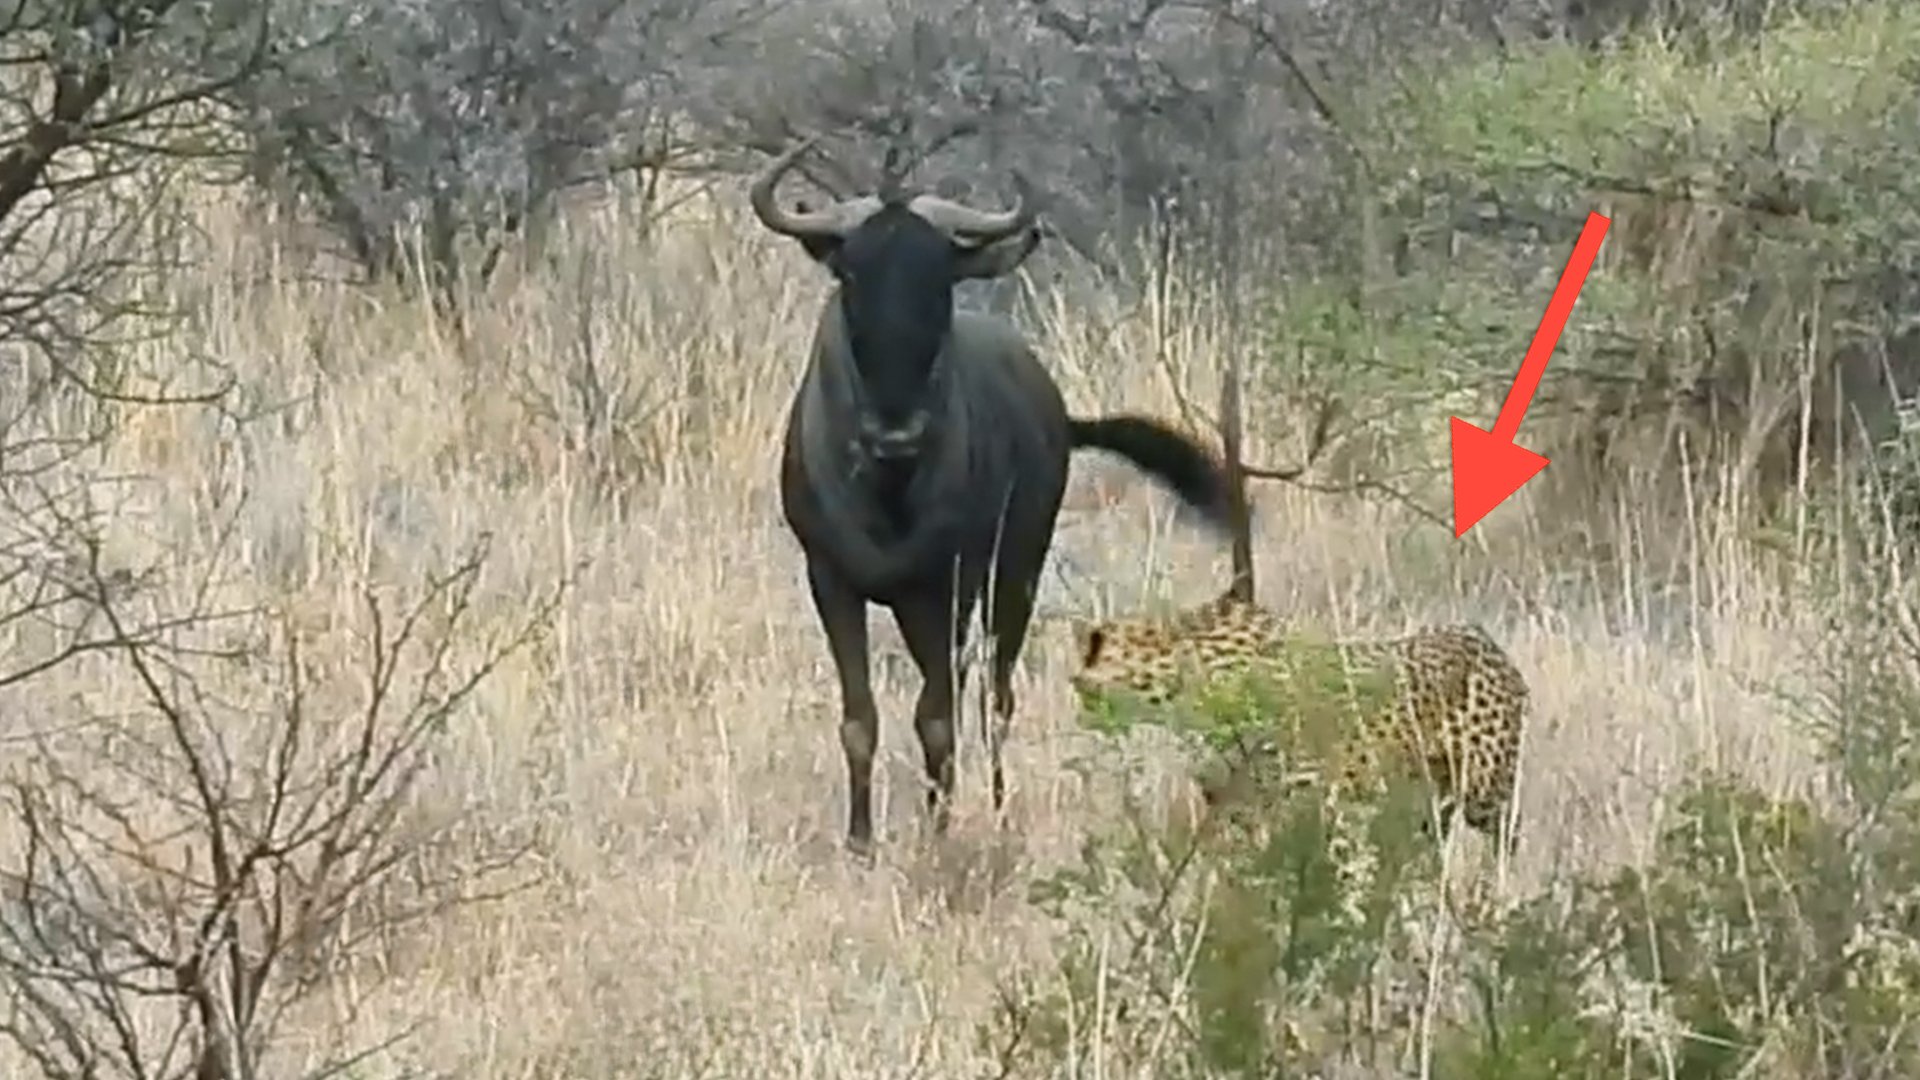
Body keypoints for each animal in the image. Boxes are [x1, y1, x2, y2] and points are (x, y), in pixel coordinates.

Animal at [1068, 588, 1530, 856]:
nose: (1076, 708)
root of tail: (1486, 639)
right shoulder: (1235, 803)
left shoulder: (1303, 793)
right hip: (1431, 800)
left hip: (1487, 794)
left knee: (1506, 845)